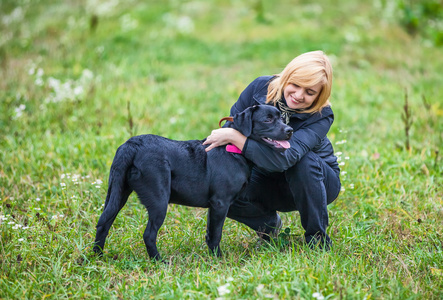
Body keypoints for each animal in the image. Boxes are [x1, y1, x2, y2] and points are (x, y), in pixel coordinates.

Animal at [93, 105, 294, 260]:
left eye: (282, 118)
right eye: (267, 120)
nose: (290, 131)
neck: (233, 147)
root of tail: (131, 145)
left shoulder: (214, 206)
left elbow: (210, 233)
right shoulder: (220, 203)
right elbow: (216, 234)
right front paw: (219, 260)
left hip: (117, 193)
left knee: (104, 223)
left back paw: (98, 256)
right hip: (159, 200)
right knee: (149, 234)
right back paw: (159, 261)